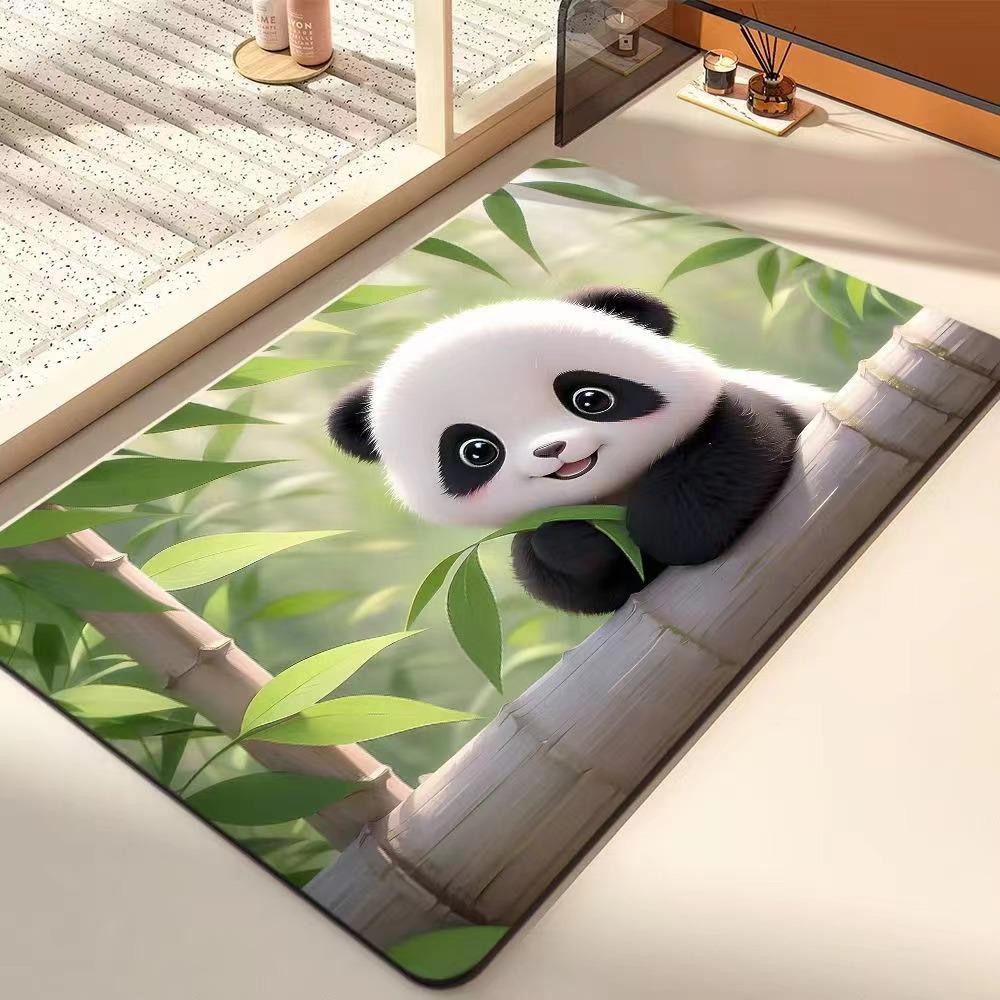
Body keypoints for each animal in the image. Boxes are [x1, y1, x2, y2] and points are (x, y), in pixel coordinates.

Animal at [328, 287, 828, 615]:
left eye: (590, 398)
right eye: (477, 451)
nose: (553, 449)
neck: (615, 490)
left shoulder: (751, 413)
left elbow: (732, 452)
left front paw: (663, 528)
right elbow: (568, 574)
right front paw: (581, 539)